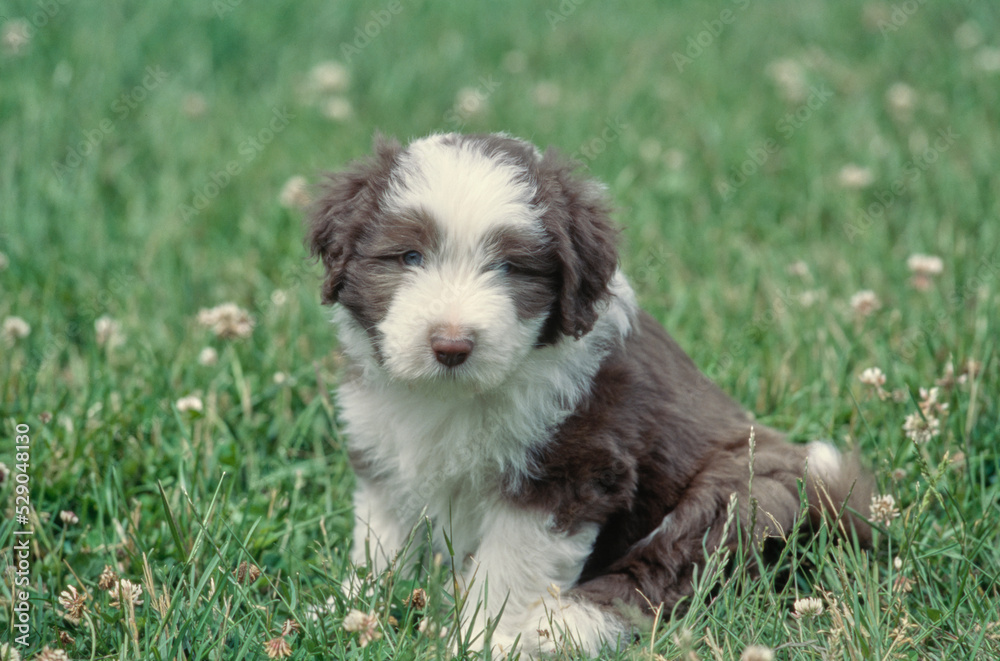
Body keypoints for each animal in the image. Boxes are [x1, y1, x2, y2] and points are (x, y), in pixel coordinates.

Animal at [308, 133, 872, 656]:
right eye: (409, 256)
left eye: (510, 267)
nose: (451, 345)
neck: (452, 397)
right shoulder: (385, 455)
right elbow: (382, 541)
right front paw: (352, 607)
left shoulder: (568, 471)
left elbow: (507, 569)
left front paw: (482, 641)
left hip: (750, 489)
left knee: (668, 570)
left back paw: (563, 627)